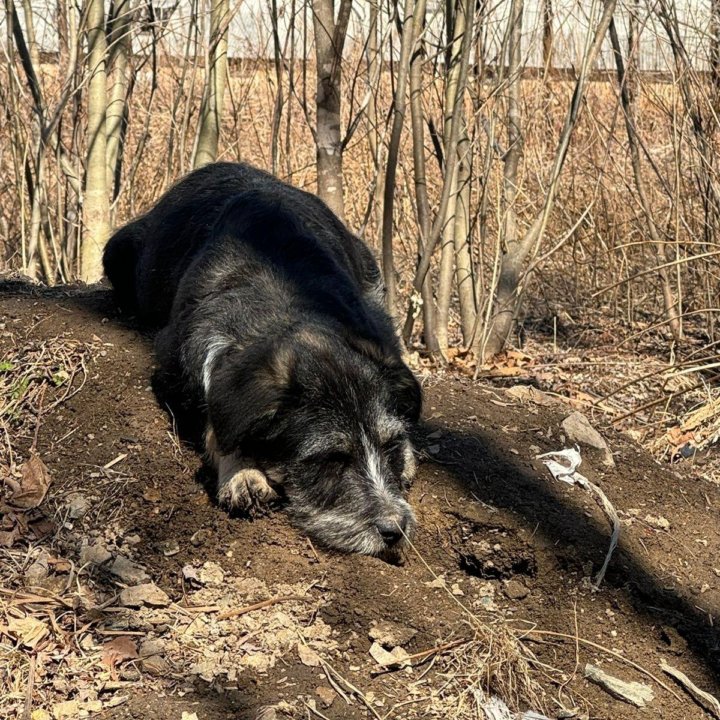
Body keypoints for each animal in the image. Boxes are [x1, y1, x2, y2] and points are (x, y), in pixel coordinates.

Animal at [104, 163, 424, 556]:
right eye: (331, 459)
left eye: (389, 444)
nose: (395, 529)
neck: (285, 305)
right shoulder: (178, 366)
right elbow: (219, 423)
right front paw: (242, 473)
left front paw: (405, 455)